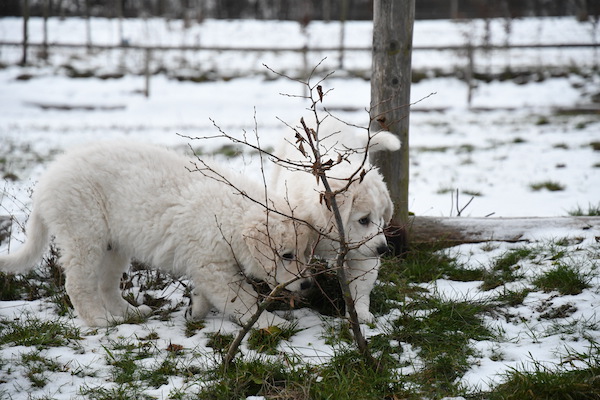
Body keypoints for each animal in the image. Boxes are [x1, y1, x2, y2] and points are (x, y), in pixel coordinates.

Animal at [2, 141, 314, 328]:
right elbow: (243, 300)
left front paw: (196, 310)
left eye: (305, 252)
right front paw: (271, 325)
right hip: (84, 232)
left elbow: (209, 292)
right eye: (287, 255)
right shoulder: (214, 267)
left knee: (106, 285)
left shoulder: (209, 264)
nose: (308, 284)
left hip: (115, 245)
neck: (231, 216)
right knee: (78, 284)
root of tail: (46, 181)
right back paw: (100, 320)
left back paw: (128, 313)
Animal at [274, 117, 400, 324]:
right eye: (364, 220)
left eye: (380, 219)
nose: (383, 249)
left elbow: (360, 285)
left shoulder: (361, 253)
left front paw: (360, 314)